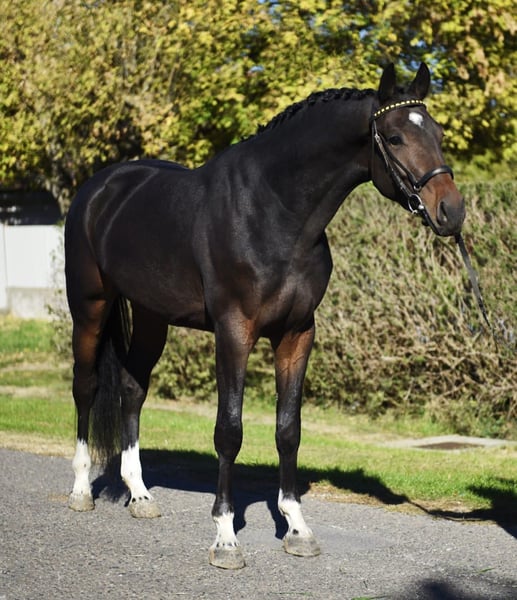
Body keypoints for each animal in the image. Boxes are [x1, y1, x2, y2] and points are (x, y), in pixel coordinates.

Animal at [64, 62, 465, 569]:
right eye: (394, 137)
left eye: (438, 133)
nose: (451, 211)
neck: (275, 212)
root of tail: (99, 189)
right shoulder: (234, 332)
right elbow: (229, 431)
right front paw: (225, 538)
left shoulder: (297, 333)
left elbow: (288, 430)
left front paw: (297, 528)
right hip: (89, 306)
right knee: (86, 387)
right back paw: (81, 490)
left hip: (152, 315)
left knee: (133, 390)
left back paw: (140, 496)